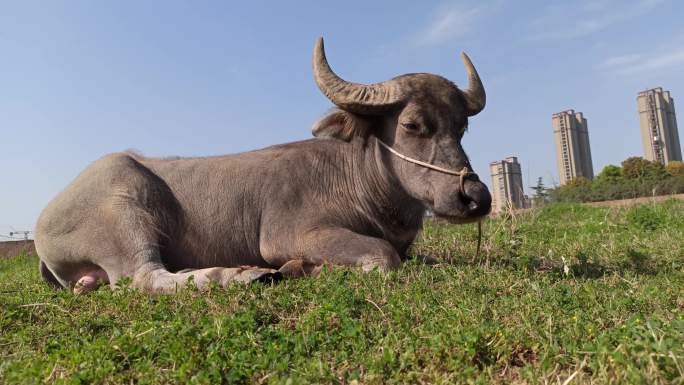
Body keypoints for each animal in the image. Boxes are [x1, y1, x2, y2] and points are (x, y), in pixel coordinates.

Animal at [34, 37, 492, 292]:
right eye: (413, 124)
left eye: (462, 126)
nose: (475, 196)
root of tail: (46, 218)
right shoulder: (292, 234)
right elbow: (383, 256)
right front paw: (302, 268)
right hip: (125, 207)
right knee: (144, 278)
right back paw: (239, 276)